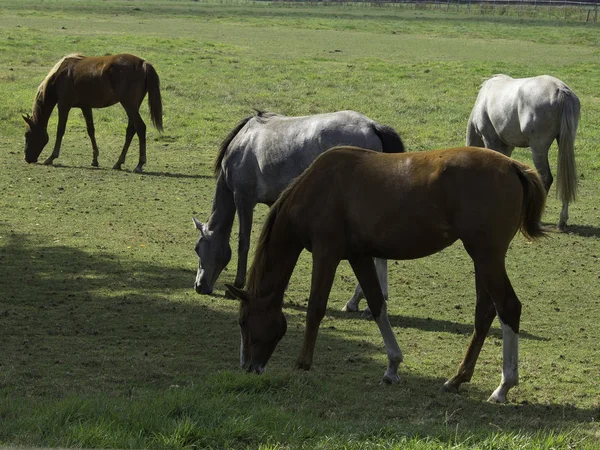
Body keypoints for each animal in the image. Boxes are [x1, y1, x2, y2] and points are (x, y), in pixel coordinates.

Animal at [22, 52, 163, 172]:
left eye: (27, 134)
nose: (27, 159)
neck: (59, 75)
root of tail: (143, 63)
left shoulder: (63, 105)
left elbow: (60, 130)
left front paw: (51, 157)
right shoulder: (85, 107)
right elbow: (91, 130)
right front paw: (95, 159)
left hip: (129, 105)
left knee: (140, 128)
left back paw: (139, 164)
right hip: (132, 107)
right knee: (131, 130)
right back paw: (118, 163)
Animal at [195, 110, 406, 306]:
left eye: (198, 248)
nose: (198, 286)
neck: (243, 142)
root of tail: (372, 126)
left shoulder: (243, 199)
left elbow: (243, 243)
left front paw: (238, 285)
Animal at [226, 146, 548, 402]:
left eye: (243, 321)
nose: (248, 367)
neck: (317, 187)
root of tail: (513, 166)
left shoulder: (325, 253)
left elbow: (316, 308)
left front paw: (303, 363)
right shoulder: (359, 256)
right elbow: (376, 303)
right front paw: (392, 366)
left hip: (486, 257)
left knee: (508, 307)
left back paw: (503, 386)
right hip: (482, 260)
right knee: (485, 313)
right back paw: (457, 379)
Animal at [466, 75, 580, 230]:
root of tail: (560, 90)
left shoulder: (490, 140)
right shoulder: (507, 147)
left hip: (538, 148)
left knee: (545, 178)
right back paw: (562, 221)